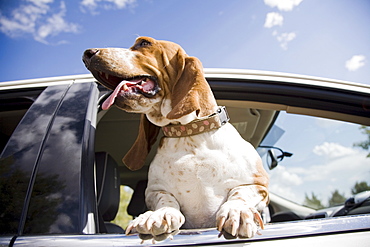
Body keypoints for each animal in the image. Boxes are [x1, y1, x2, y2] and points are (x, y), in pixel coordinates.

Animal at [83, 36, 268, 241]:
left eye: (144, 43)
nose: (87, 54)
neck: (189, 133)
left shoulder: (260, 186)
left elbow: (239, 192)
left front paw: (237, 212)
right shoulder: (154, 191)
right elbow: (166, 199)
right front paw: (159, 215)